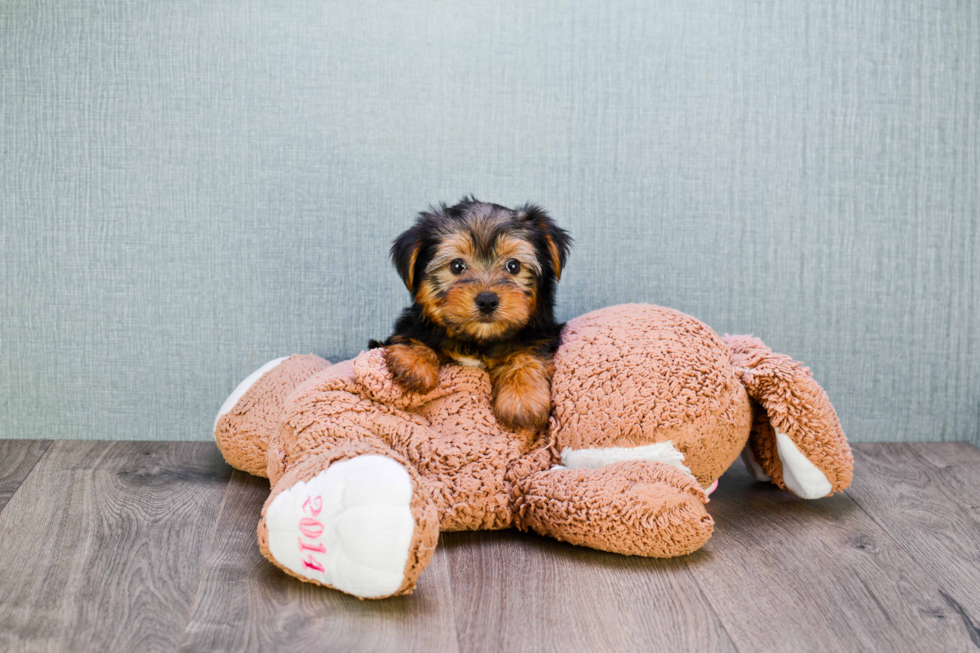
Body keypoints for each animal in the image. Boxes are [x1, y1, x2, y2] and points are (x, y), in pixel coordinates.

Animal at [374, 199, 576, 432]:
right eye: (457, 266)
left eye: (513, 265)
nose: (487, 300)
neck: (477, 341)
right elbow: (412, 334)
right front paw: (413, 362)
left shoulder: (541, 334)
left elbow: (527, 355)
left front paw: (522, 400)